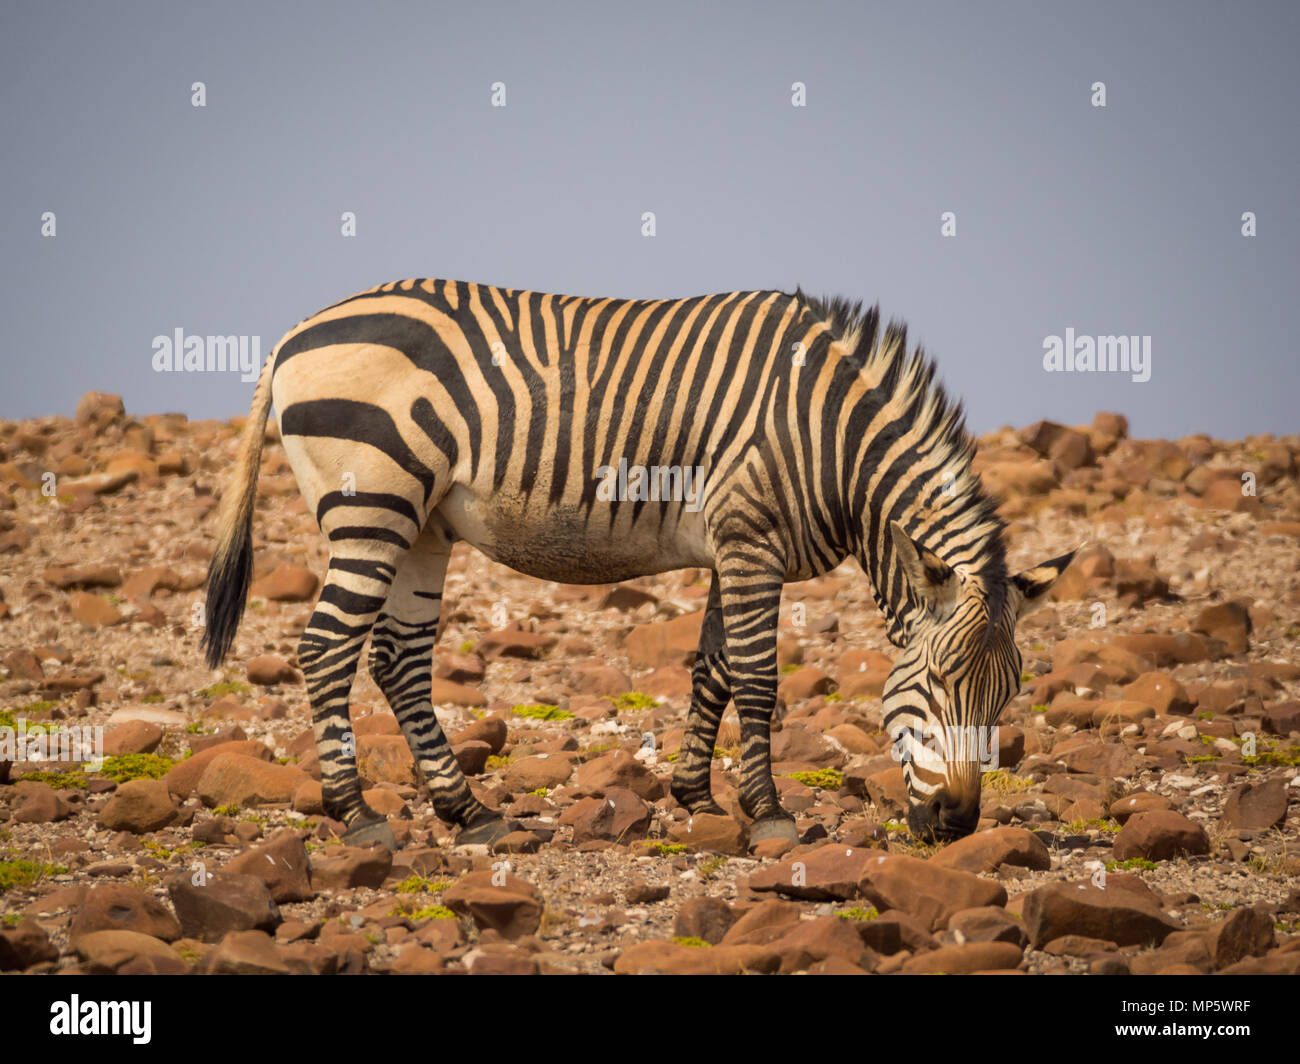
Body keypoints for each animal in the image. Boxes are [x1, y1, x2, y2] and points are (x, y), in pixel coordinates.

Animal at [202, 279, 1076, 848]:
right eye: (939, 684)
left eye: (1007, 695)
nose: (959, 826)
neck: (831, 439)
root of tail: (299, 329)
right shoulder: (750, 538)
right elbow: (758, 677)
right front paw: (769, 814)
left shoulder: (734, 545)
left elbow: (713, 668)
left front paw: (697, 796)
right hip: (372, 506)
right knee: (326, 650)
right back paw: (357, 816)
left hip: (423, 524)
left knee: (398, 659)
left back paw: (468, 812)